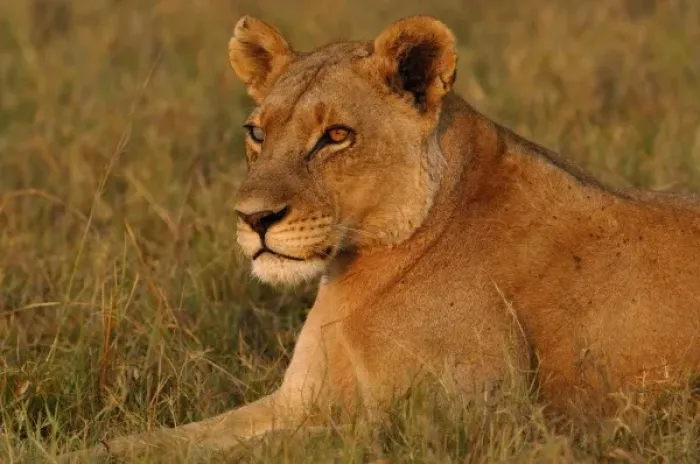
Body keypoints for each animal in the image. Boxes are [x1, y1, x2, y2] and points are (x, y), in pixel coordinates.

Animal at [58, 14, 700, 461]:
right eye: (257, 133)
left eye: (337, 136)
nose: (253, 219)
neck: (353, 276)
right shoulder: (296, 400)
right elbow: (164, 440)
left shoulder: (460, 422)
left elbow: (267, 452)